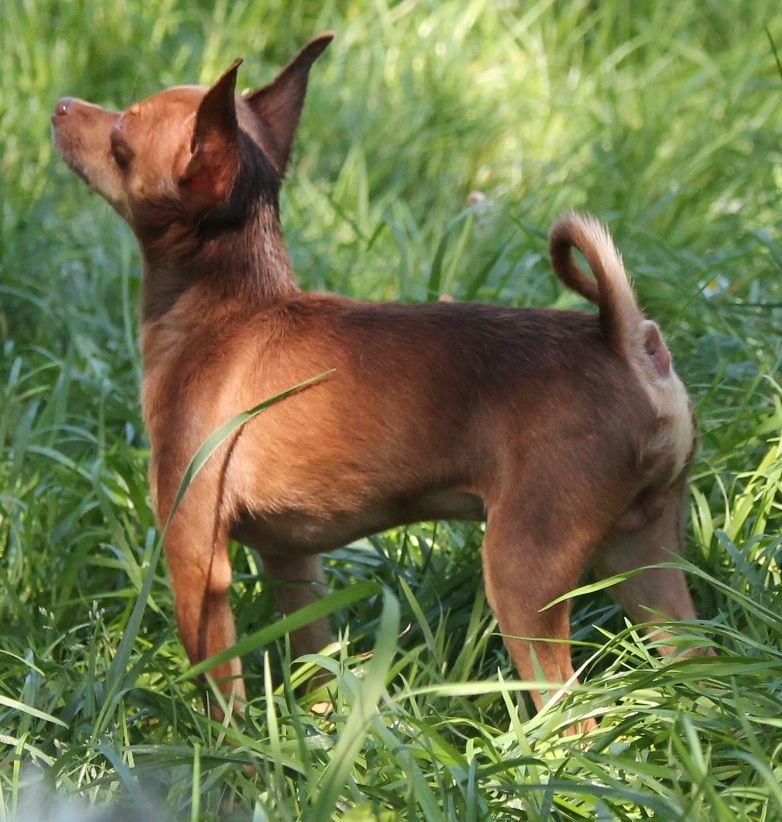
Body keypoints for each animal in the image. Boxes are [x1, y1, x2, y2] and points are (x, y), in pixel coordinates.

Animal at [52, 33, 708, 728]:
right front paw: (316, 734)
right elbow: (312, 657)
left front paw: (229, 751)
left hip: (525, 574)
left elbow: (221, 691)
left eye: (120, 134)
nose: (62, 104)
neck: (226, 310)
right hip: (648, 563)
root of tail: (627, 342)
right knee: (699, 663)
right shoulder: (293, 563)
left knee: (573, 718)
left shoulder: (195, 560)